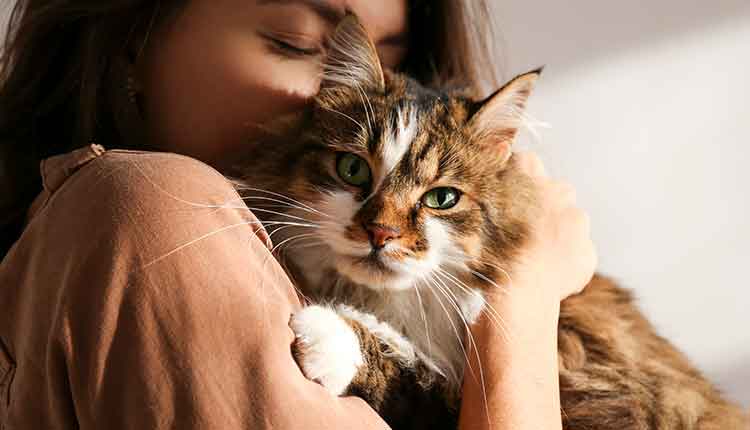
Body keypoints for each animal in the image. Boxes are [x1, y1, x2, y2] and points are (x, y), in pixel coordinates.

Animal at [234, 15, 748, 430]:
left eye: (442, 198)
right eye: (353, 169)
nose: (381, 233)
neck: (398, 306)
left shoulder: (603, 389)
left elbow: (419, 378)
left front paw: (330, 337)